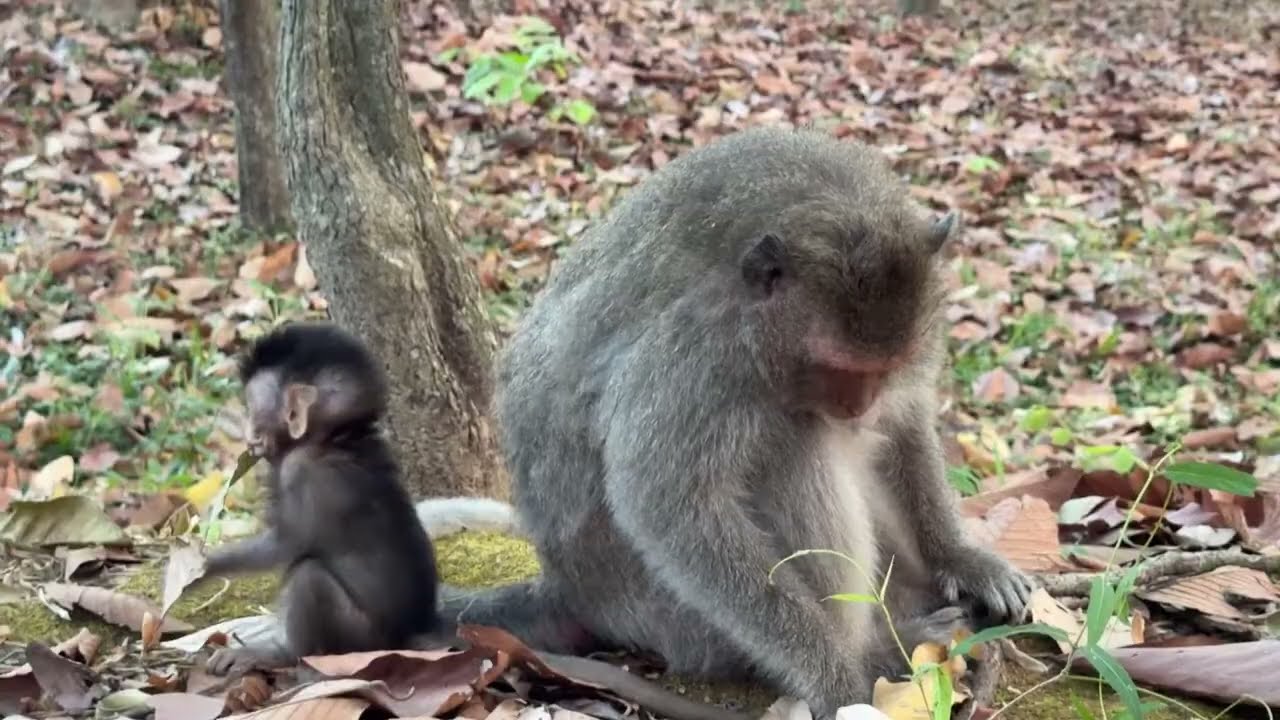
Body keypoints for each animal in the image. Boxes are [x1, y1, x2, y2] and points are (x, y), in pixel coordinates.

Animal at [201, 321, 444, 676]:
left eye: (253, 413)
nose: (248, 438)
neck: (332, 439)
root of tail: (407, 635)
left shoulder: (298, 469)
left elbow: (284, 546)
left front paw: (200, 567)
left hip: (362, 640)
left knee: (309, 575)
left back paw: (282, 654)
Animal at [423, 126, 1034, 718]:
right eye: (837, 368)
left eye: (886, 367)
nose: (859, 407)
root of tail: (570, 590)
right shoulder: (700, 353)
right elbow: (668, 503)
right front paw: (834, 672)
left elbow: (904, 422)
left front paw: (961, 558)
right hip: (671, 618)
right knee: (795, 442)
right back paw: (880, 646)